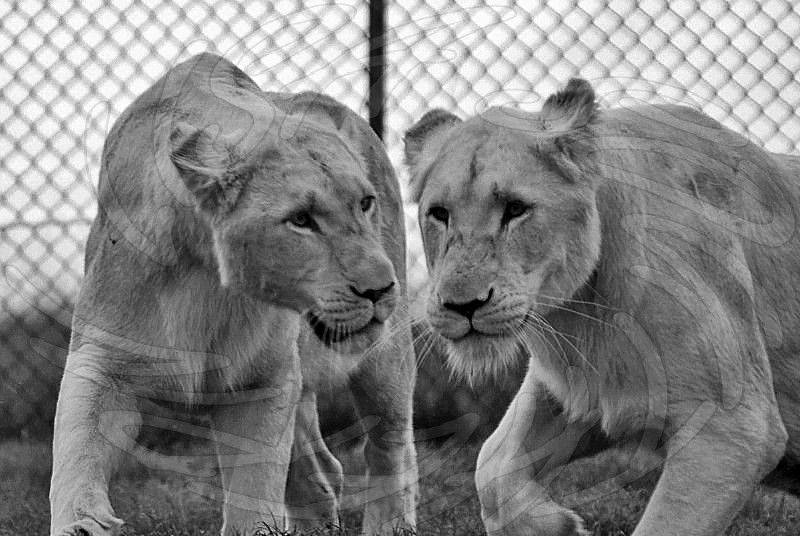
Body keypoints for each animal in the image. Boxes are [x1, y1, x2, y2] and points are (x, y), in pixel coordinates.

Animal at [49, 52, 418, 536]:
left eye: (365, 203)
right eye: (301, 219)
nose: (379, 288)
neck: (205, 275)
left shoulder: (263, 379)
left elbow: (255, 482)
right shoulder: (103, 358)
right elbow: (79, 447)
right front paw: (83, 522)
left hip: (384, 358)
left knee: (390, 445)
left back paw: (390, 524)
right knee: (323, 469)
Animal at [404, 78, 800, 535]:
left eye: (516, 209)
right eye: (439, 214)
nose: (461, 305)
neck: (582, 312)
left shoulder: (732, 426)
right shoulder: (579, 389)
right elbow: (492, 465)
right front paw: (560, 527)